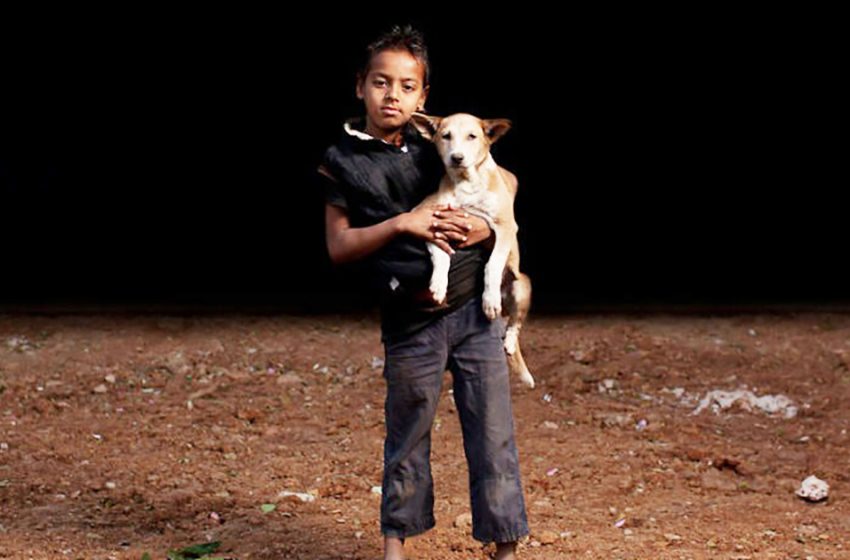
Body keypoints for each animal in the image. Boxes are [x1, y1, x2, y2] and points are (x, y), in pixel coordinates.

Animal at [410, 111, 532, 388]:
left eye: (472, 136)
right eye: (446, 136)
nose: (457, 158)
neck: (466, 184)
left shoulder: (506, 227)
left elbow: (493, 265)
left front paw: (489, 299)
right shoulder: (430, 223)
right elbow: (442, 258)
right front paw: (438, 285)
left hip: (522, 284)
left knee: (515, 323)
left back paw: (508, 337)